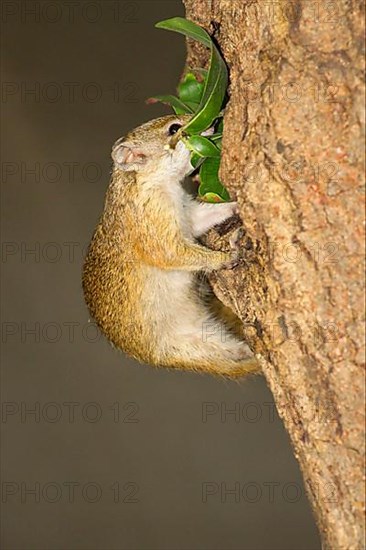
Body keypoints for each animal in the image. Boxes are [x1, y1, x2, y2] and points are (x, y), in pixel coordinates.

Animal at [82, 113, 260, 380]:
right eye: (174, 129)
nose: (215, 120)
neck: (149, 181)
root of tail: (157, 358)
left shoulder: (187, 213)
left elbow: (205, 217)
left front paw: (236, 203)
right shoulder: (153, 223)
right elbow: (173, 253)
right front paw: (225, 258)